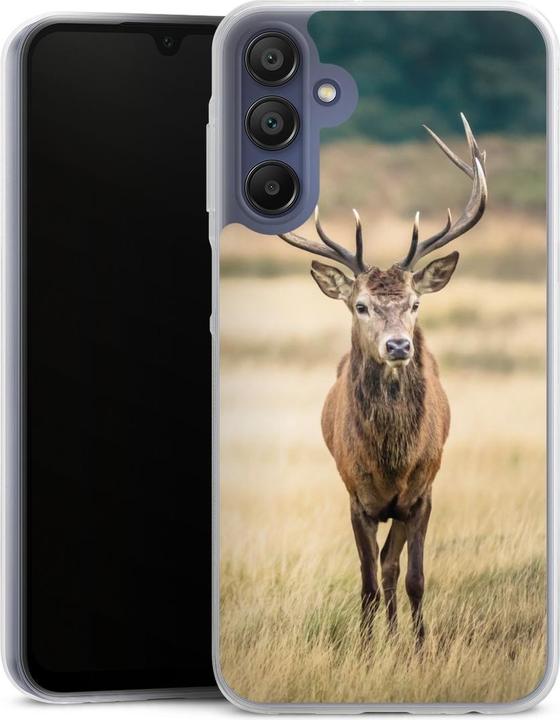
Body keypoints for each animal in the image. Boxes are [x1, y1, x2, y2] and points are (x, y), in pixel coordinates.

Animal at [278, 114, 487, 645]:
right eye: (360, 305)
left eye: (414, 303)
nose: (398, 346)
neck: (392, 460)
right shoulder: (356, 495)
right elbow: (369, 580)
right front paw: (368, 646)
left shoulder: (423, 492)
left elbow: (412, 576)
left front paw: (417, 645)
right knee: (379, 571)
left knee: (394, 568)